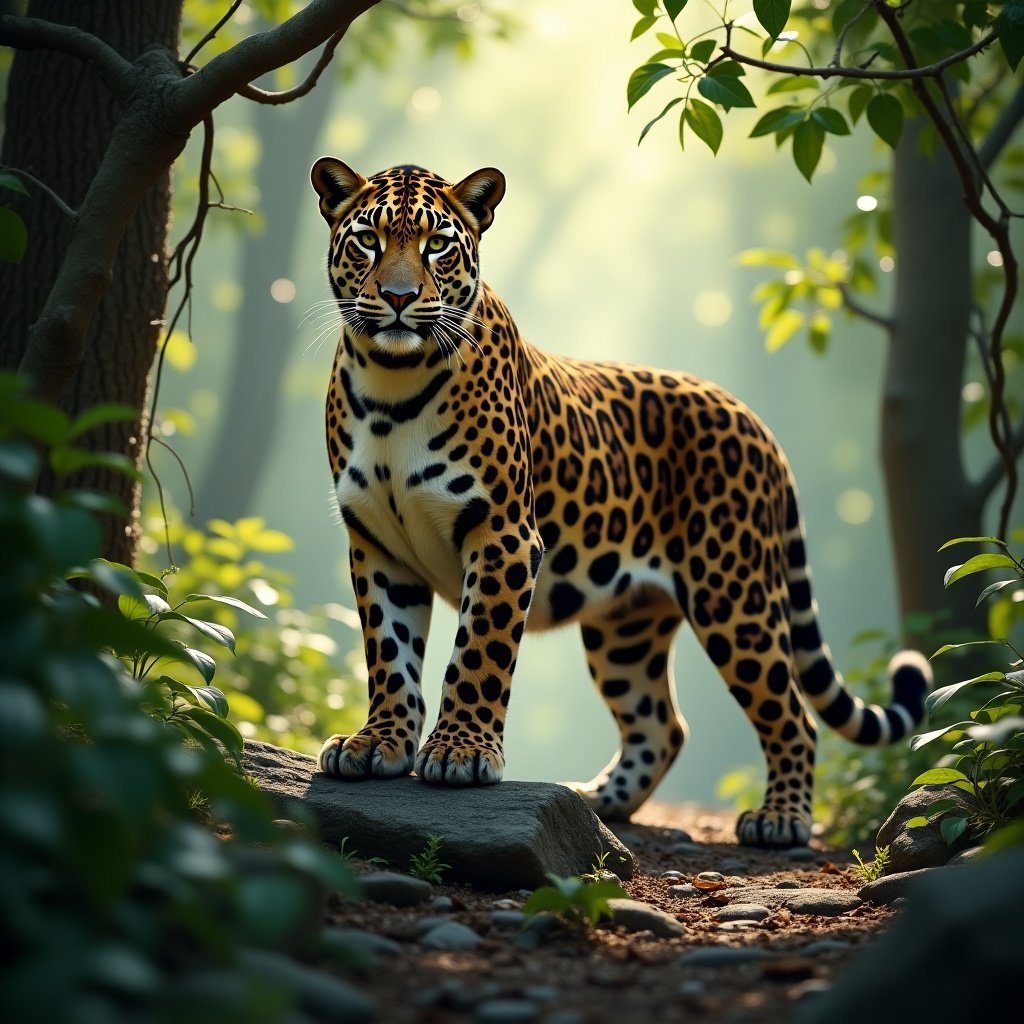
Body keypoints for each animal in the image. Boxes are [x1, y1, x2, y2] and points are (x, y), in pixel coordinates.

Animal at [309, 157, 929, 847]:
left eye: (437, 245)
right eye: (368, 240)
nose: (397, 298)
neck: (392, 387)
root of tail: (752, 417)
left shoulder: (503, 535)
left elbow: (477, 651)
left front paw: (460, 753)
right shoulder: (377, 544)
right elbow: (389, 654)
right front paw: (377, 744)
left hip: (734, 593)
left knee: (791, 712)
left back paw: (781, 819)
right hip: (626, 625)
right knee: (660, 722)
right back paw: (601, 800)